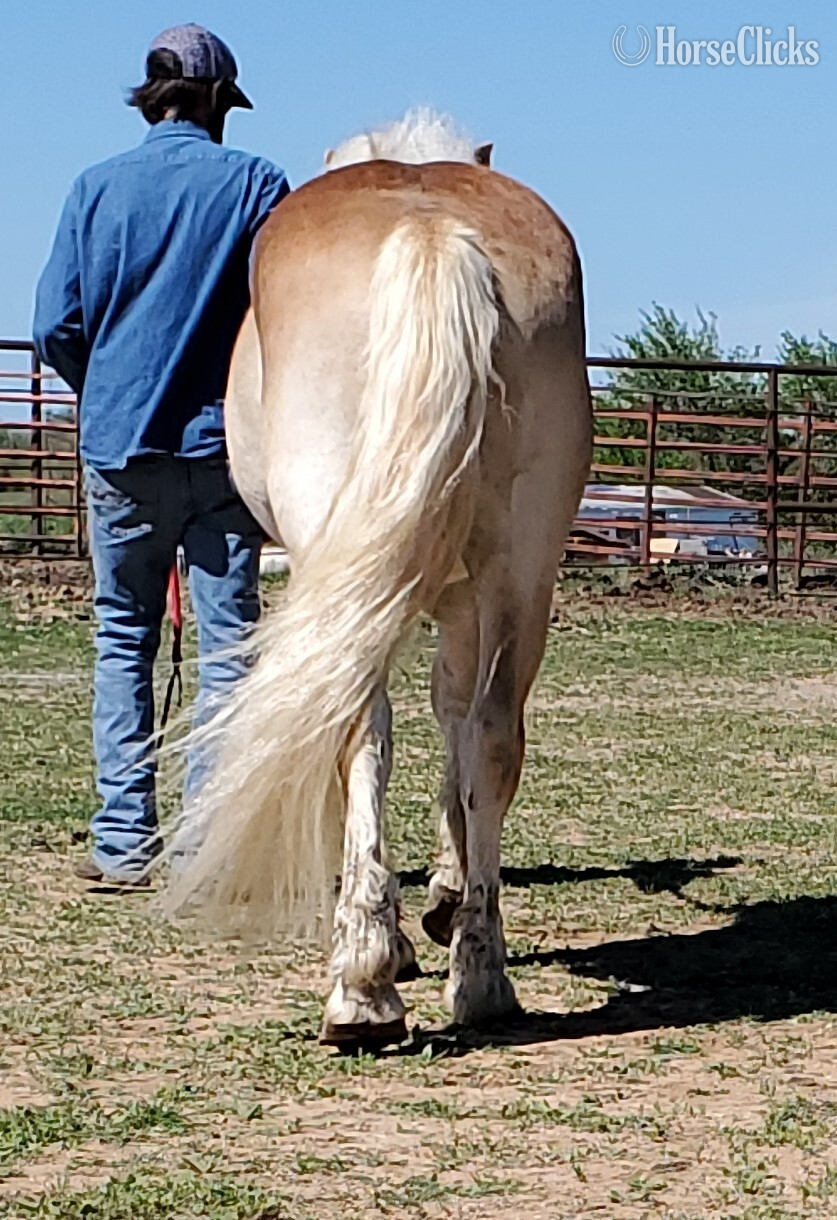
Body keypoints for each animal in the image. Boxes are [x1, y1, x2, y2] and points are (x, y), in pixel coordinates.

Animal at [162, 108, 593, 1046]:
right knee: (494, 734)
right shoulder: (464, 600)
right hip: (523, 568)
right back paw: (481, 977)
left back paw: (362, 985)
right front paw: (446, 899)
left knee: (359, 726)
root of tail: (429, 231)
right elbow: (459, 722)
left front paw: (405, 926)